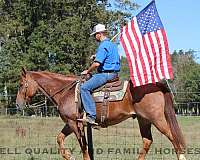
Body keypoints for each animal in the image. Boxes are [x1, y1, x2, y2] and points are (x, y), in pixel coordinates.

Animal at [15, 69, 186, 160]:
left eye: (22, 84)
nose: (17, 104)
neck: (66, 92)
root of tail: (156, 84)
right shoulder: (70, 123)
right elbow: (59, 138)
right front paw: (69, 156)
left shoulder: (75, 124)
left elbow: (84, 146)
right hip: (143, 120)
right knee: (147, 141)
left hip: (157, 119)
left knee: (173, 138)